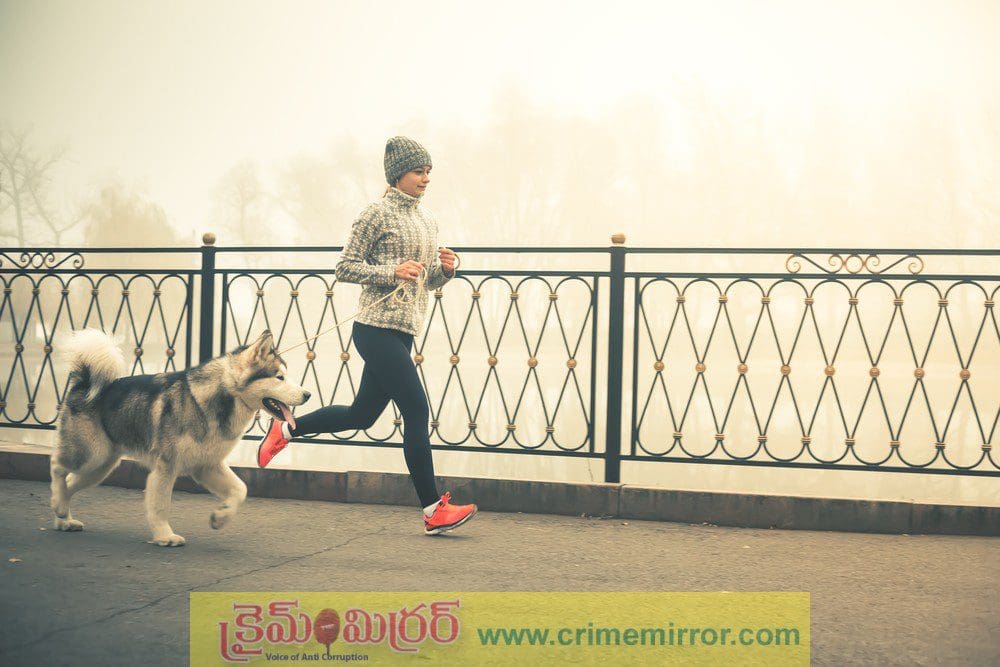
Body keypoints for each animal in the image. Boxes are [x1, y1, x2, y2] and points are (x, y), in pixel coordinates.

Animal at [50, 329, 309, 546]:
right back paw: (58, 503)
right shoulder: (167, 465)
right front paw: (164, 536)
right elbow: (160, 504)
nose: (307, 394)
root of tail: (84, 383)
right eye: (280, 378)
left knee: (70, 484)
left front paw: (220, 517)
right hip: (91, 454)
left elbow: (240, 489)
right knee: (57, 467)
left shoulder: (207, 466)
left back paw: (63, 516)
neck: (214, 399)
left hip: (100, 466)